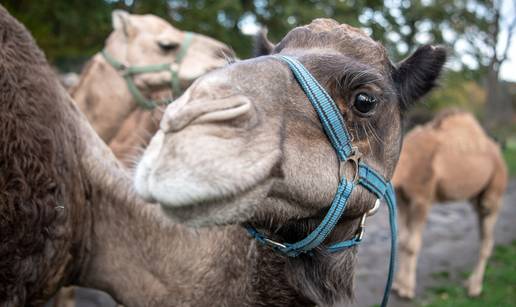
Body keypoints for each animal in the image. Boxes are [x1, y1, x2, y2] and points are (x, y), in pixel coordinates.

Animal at [392, 109, 508, 300]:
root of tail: (498, 151)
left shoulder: (422, 199)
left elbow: (412, 245)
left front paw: (407, 289)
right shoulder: (402, 198)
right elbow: (402, 241)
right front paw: (396, 285)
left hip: (494, 190)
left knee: (487, 238)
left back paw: (475, 288)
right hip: (477, 197)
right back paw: (470, 282)